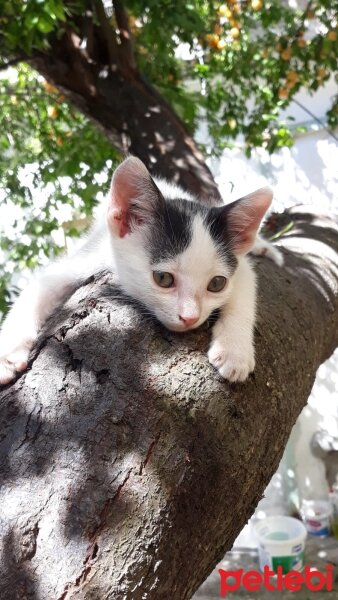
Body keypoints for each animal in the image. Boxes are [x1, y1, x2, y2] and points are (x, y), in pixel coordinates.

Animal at [0, 157, 282, 384]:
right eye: (163, 278)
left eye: (216, 284)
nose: (190, 317)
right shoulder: (91, 257)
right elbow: (36, 290)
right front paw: (6, 357)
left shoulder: (241, 268)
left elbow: (244, 295)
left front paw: (234, 352)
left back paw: (261, 246)